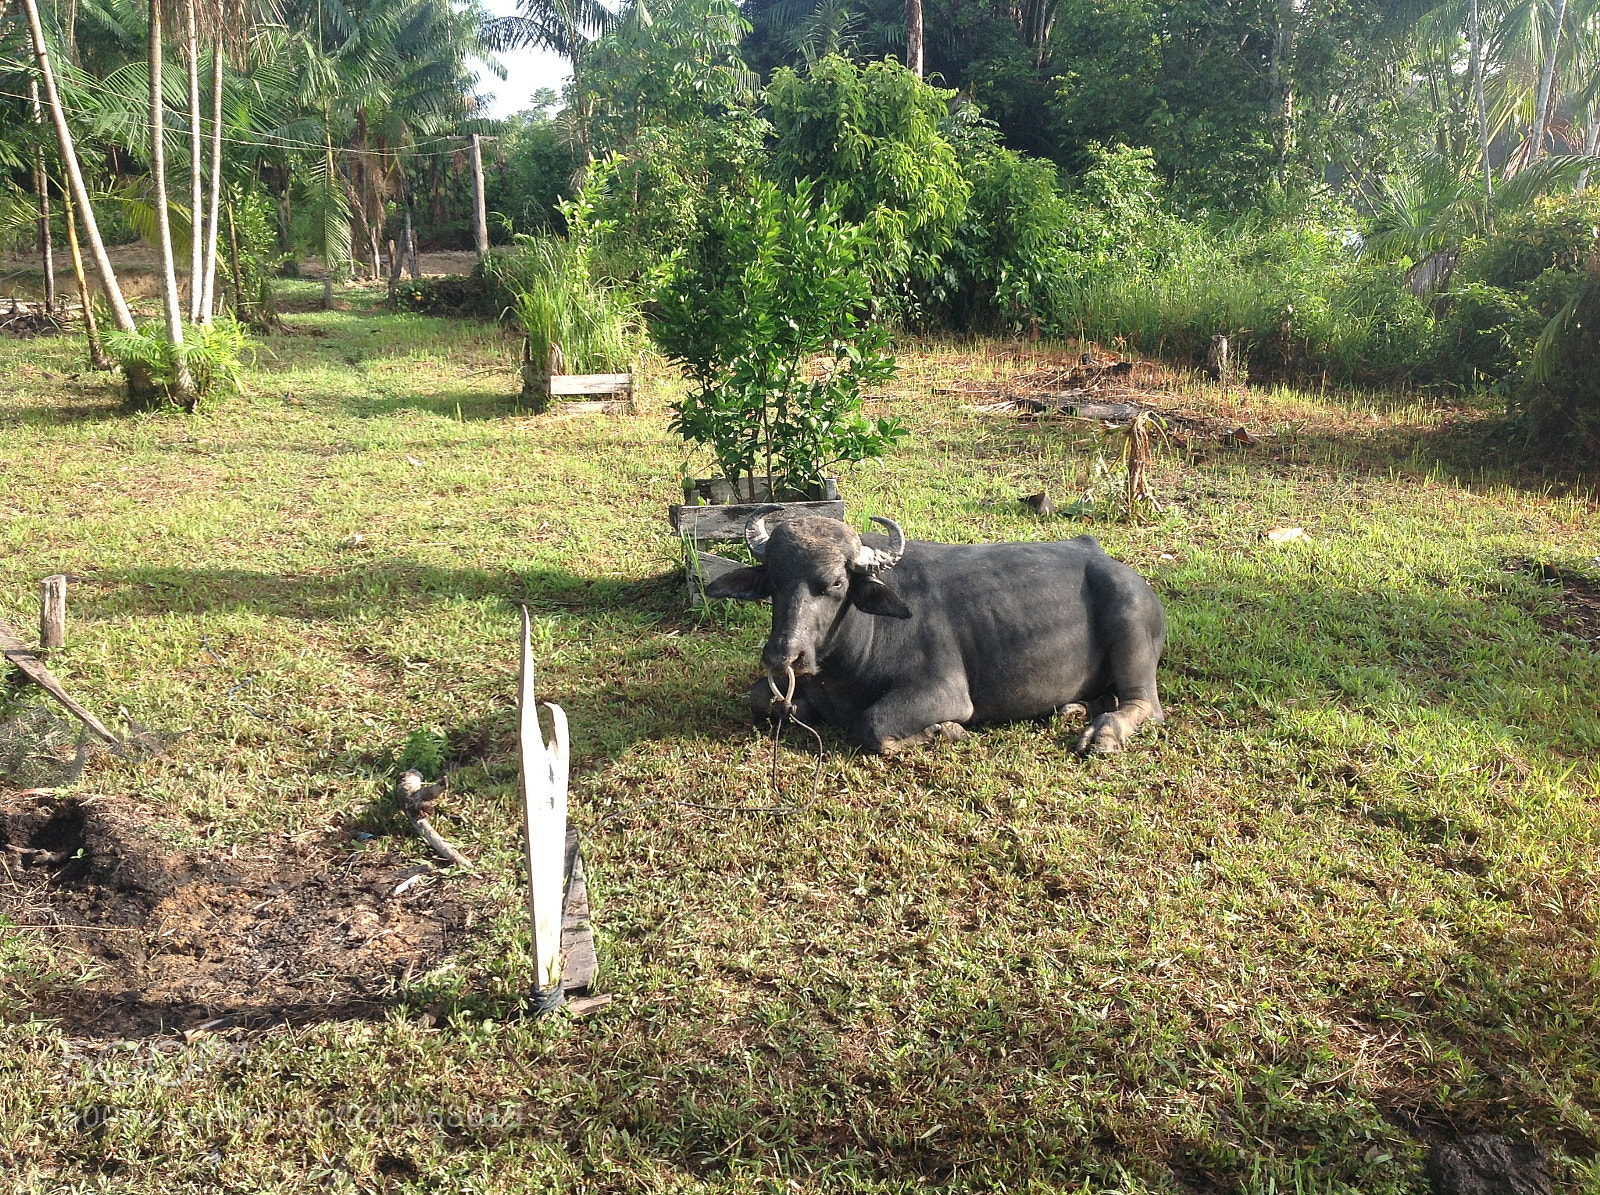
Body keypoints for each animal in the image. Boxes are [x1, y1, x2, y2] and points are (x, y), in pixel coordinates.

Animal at [705, 513, 1167, 754]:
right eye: (773, 579)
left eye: (836, 582)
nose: (784, 655)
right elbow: (761, 698)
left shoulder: (943, 692)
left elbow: (872, 725)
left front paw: (946, 730)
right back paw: (1074, 708)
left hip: (1130, 623)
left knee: (1145, 705)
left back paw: (1103, 733)